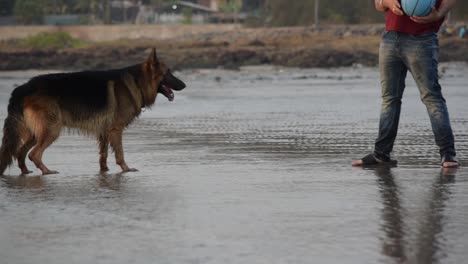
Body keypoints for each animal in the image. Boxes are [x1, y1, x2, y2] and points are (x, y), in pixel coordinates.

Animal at [0, 49, 186, 175]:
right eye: (168, 72)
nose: (184, 85)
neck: (138, 82)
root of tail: (23, 87)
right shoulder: (116, 130)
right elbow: (120, 153)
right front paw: (126, 169)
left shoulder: (104, 131)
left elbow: (103, 155)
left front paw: (104, 171)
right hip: (51, 130)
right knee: (34, 154)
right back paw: (47, 171)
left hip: (35, 132)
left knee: (20, 152)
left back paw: (25, 172)